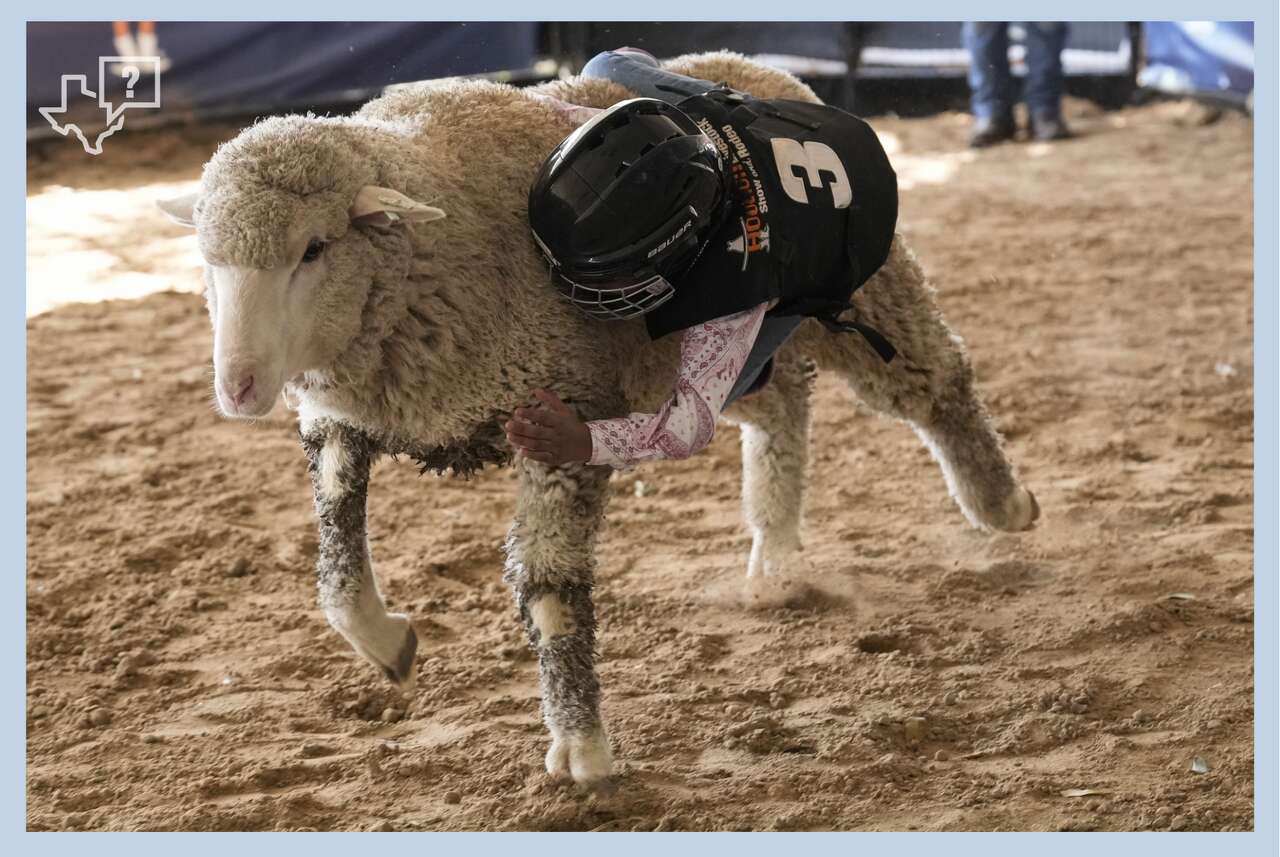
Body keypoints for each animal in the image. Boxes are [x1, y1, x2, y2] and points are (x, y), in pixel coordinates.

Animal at [159, 51, 1038, 793]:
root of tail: (765, 70)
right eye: (208, 257)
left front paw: (581, 745)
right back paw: (775, 554)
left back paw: (1001, 502)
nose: (238, 389)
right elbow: (337, 572)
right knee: (780, 410)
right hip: (735, 351)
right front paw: (388, 643)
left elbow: (549, 586)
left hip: (861, 291)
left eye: (313, 248)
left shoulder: (566, 411)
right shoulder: (340, 418)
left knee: (934, 380)